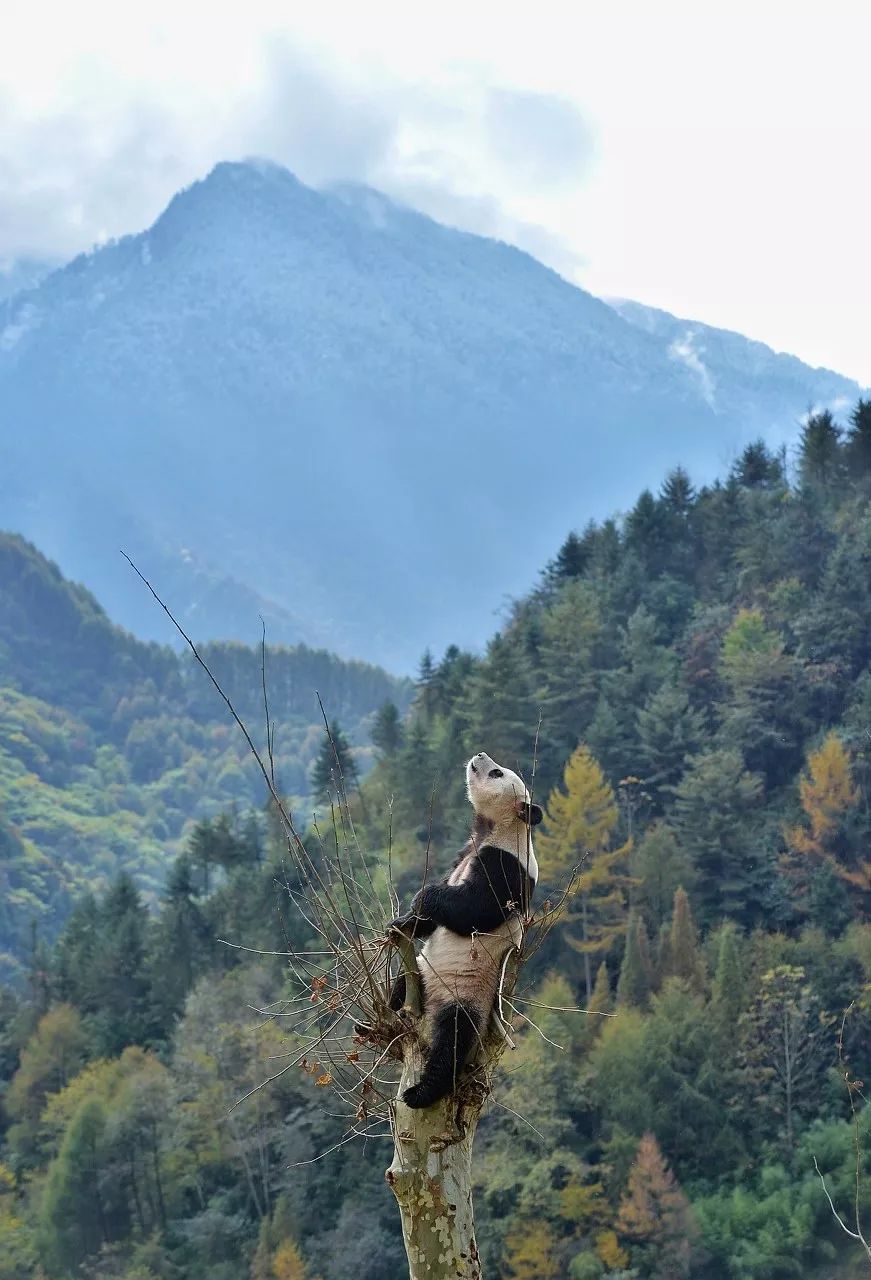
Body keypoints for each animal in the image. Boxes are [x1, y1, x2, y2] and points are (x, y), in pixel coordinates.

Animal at [386, 747, 537, 1111]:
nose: (480, 754)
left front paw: (423, 897)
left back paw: (420, 1093)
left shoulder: (507, 865)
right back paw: (394, 1007)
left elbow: (474, 908)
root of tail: (434, 1000)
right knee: (403, 987)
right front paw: (403, 922)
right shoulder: (467, 851)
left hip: (467, 991)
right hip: (424, 972)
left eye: (497, 773)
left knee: (453, 1039)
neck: (496, 828)